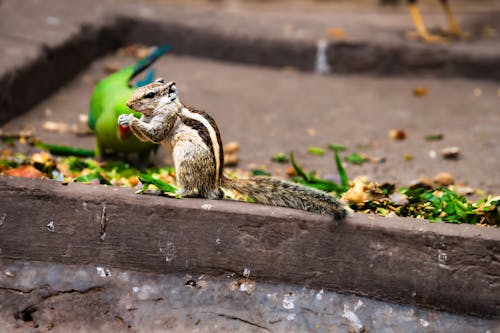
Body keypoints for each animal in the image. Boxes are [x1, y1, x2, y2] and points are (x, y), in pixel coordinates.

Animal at [118, 77, 350, 218]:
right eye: (140, 88)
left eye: (150, 95)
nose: (128, 104)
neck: (166, 106)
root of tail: (215, 181)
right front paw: (124, 118)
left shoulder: (167, 119)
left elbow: (155, 135)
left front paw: (131, 119)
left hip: (185, 161)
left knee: (191, 191)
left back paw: (165, 190)